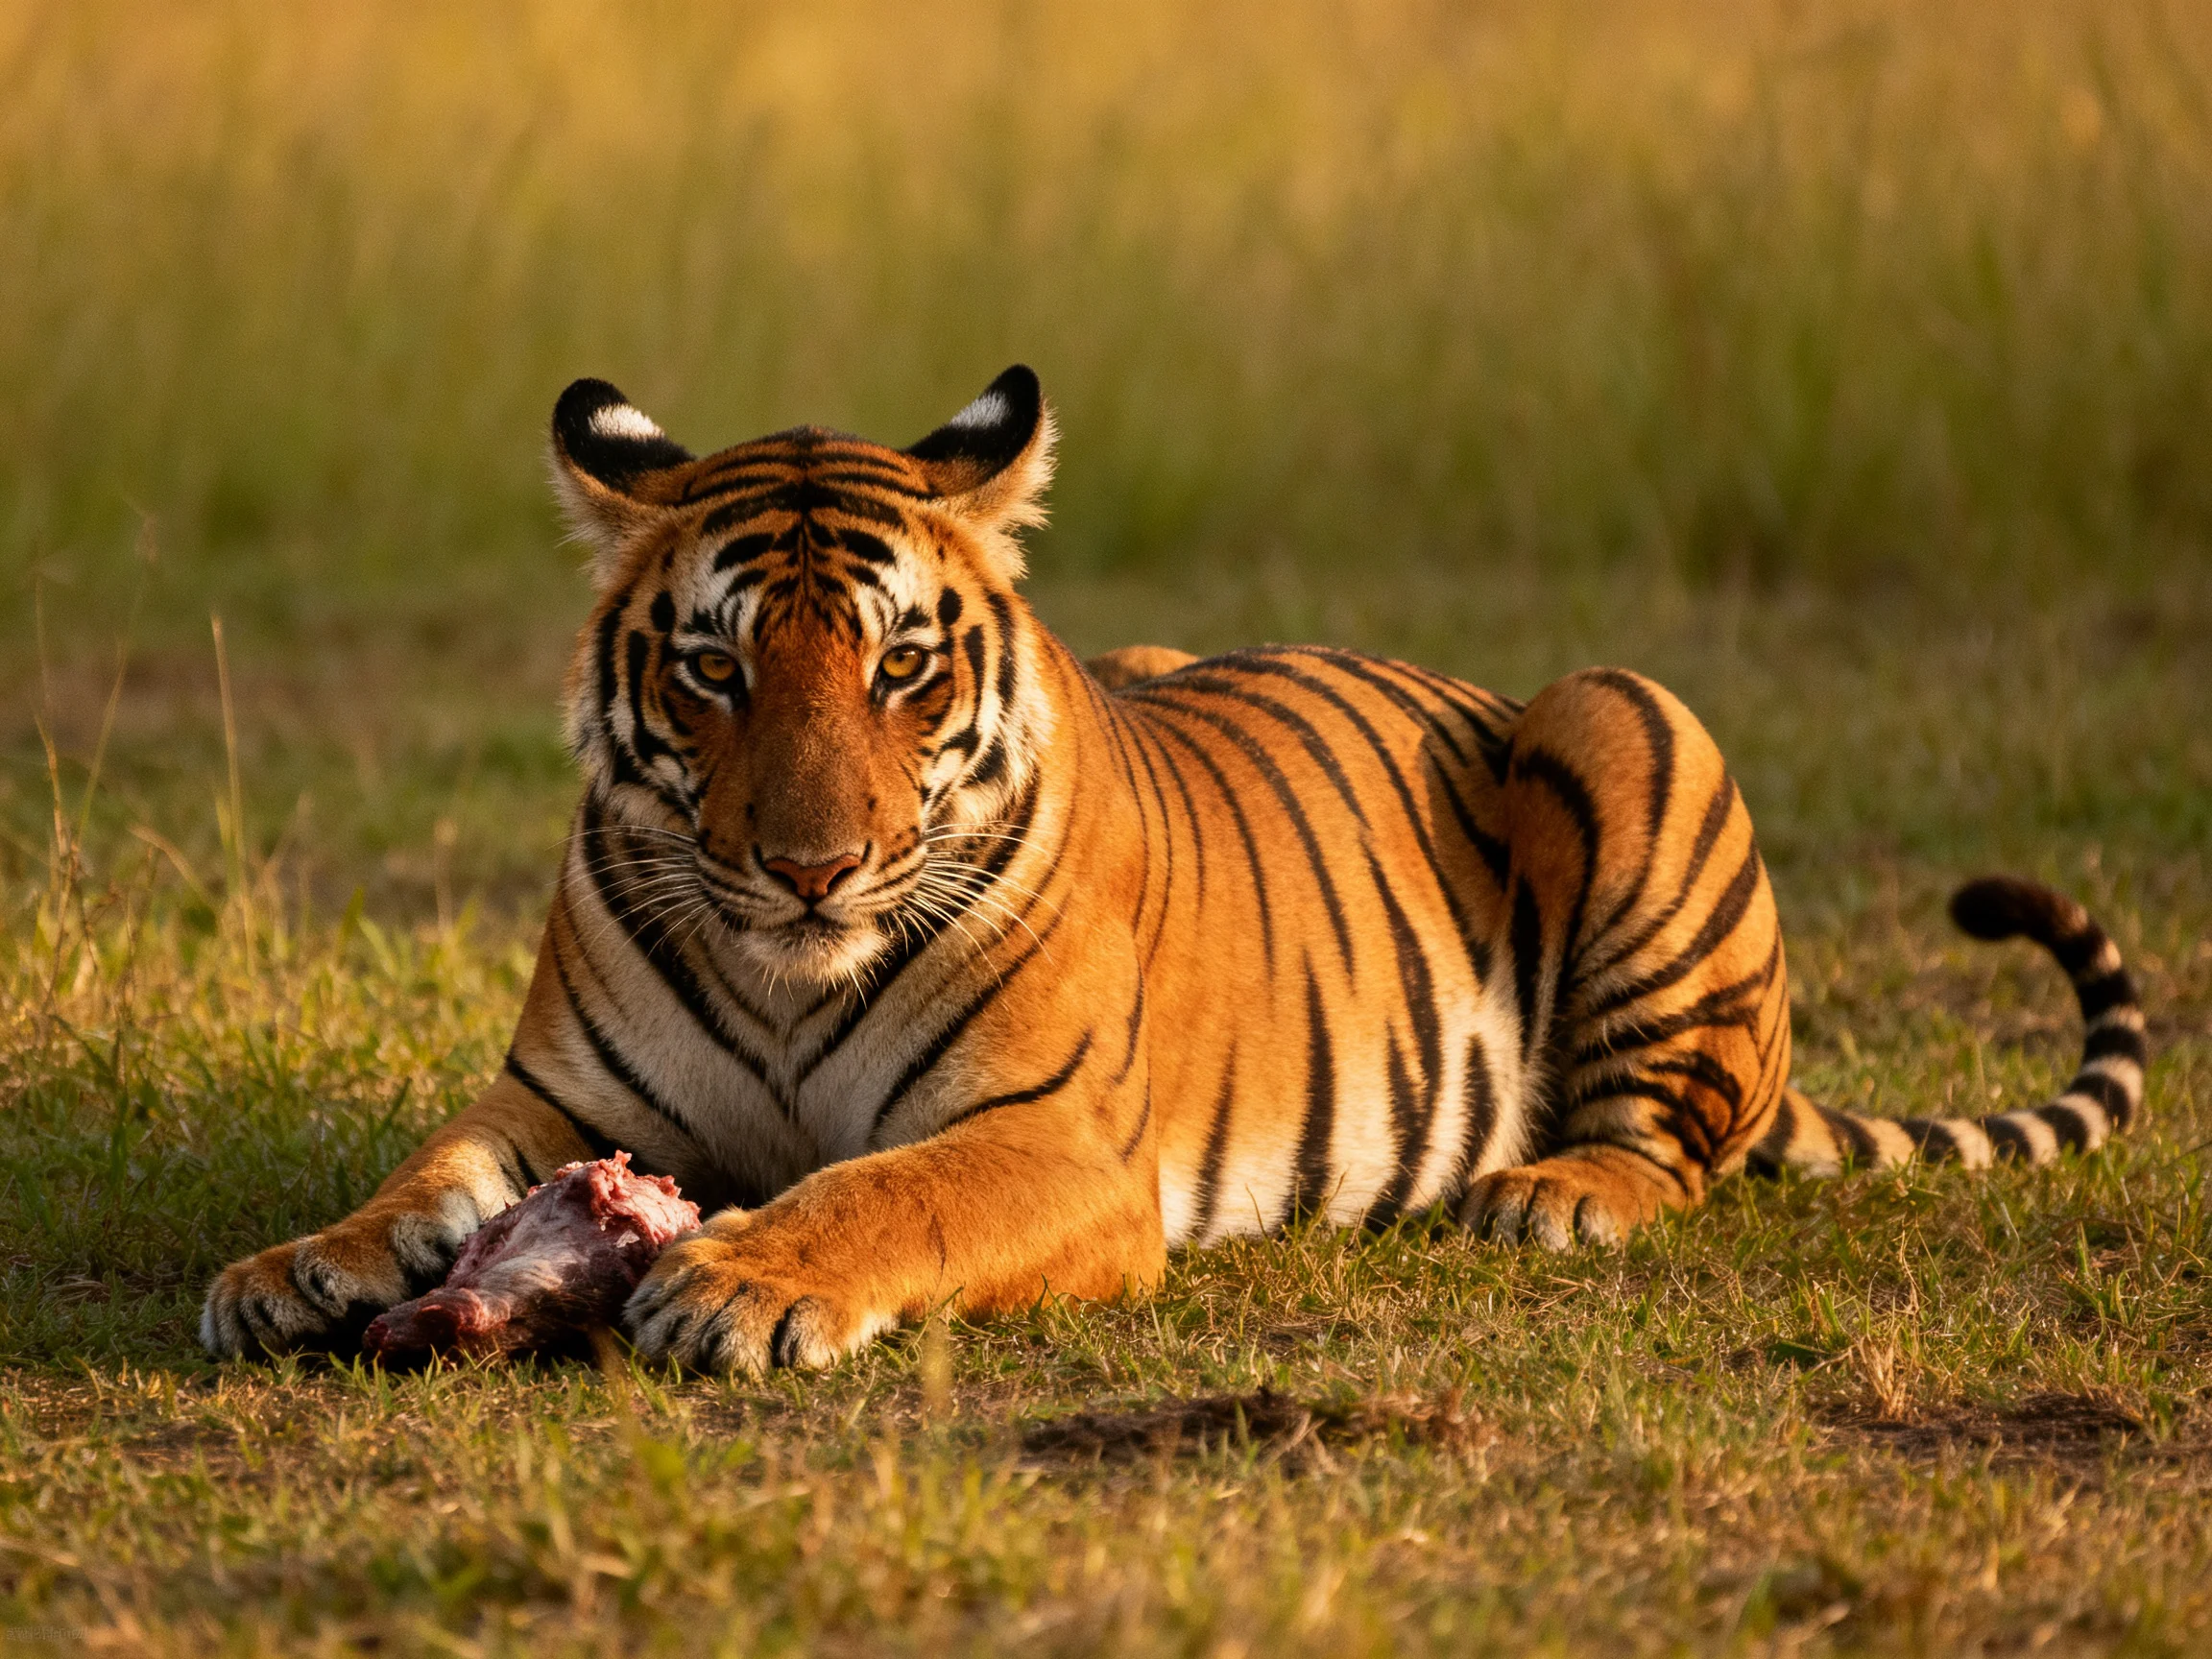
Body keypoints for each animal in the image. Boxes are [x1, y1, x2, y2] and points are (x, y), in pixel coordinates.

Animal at [202, 366, 2150, 1371]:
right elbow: (431, 1173)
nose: (818, 868)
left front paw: (742, 1282)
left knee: (1681, 1137)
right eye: (714, 669)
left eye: (899, 667)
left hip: (1624, 711)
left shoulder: (1055, 1141)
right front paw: (296, 1265)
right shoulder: (558, 1099)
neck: (785, 974)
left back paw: (1556, 1191)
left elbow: (881, 1193)